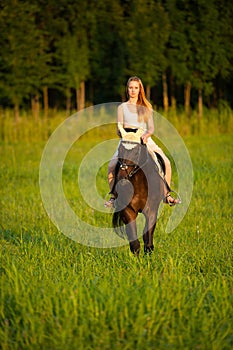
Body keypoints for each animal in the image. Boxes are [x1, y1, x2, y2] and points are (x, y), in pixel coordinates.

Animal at [112, 124, 164, 256]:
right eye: (120, 150)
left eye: (136, 152)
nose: (122, 179)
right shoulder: (128, 210)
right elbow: (134, 242)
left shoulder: (152, 210)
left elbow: (148, 238)